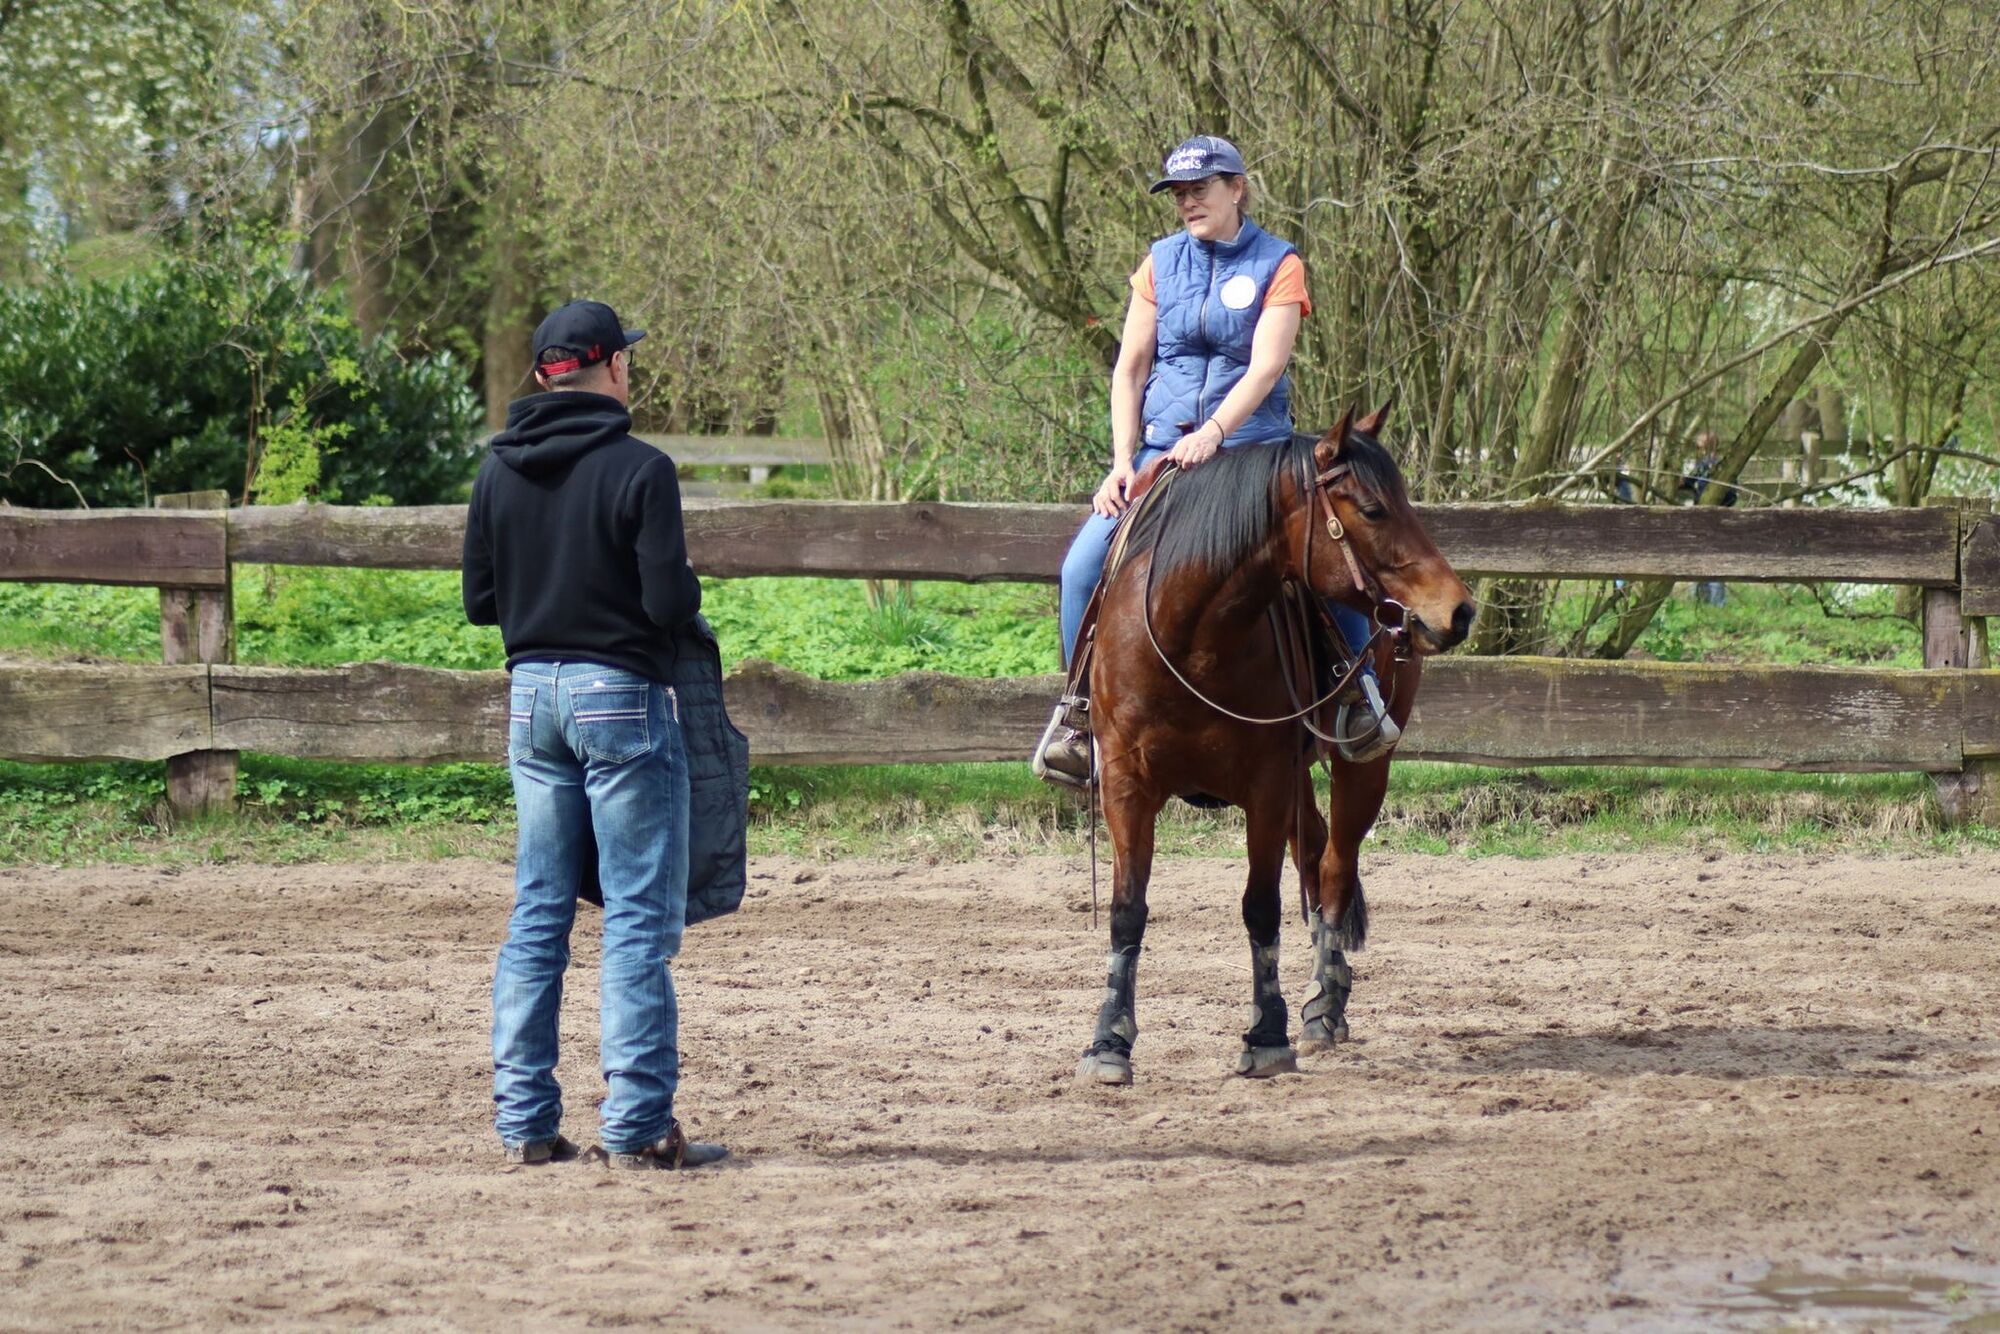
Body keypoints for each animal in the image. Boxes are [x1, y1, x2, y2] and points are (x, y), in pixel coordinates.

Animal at [1080, 404, 1472, 1088]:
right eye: (1374, 510)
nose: (1459, 610)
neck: (1192, 638)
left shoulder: (1265, 784)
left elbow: (1260, 907)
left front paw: (1267, 1035)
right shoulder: (1128, 784)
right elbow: (1128, 910)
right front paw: (1110, 1041)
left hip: (1360, 768)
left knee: (1336, 868)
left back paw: (1325, 1004)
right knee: (1314, 854)